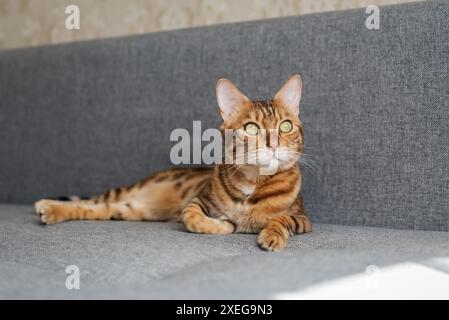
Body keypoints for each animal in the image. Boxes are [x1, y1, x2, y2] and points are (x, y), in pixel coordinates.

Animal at [34, 75, 312, 252]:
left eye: (286, 126)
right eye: (252, 128)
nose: (273, 144)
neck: (253, 183)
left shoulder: (303, 219)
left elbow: (281, 220)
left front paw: (272, 235)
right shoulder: (198, 200)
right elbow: (193, 218)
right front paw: (223, 224)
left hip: (129, 210)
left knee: (98, 209)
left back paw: (51, 211)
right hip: (130, 193)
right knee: (92, 201)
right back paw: (47, 206)